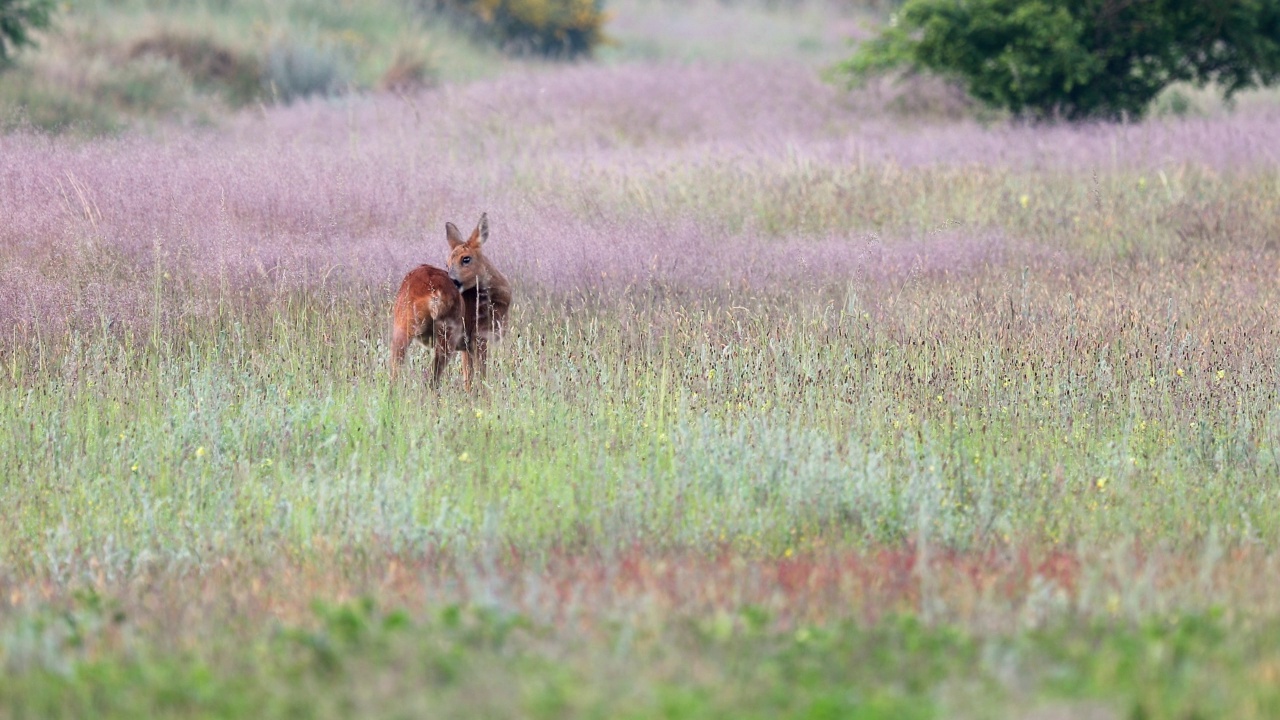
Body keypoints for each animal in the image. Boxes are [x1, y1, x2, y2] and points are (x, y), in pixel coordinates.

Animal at [448, 210, 512, 389]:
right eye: (447, 262)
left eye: (466, 258)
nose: (451, 280)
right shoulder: (479, 335)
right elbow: (478, 374)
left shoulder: (469, 342)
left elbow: (470, 375)